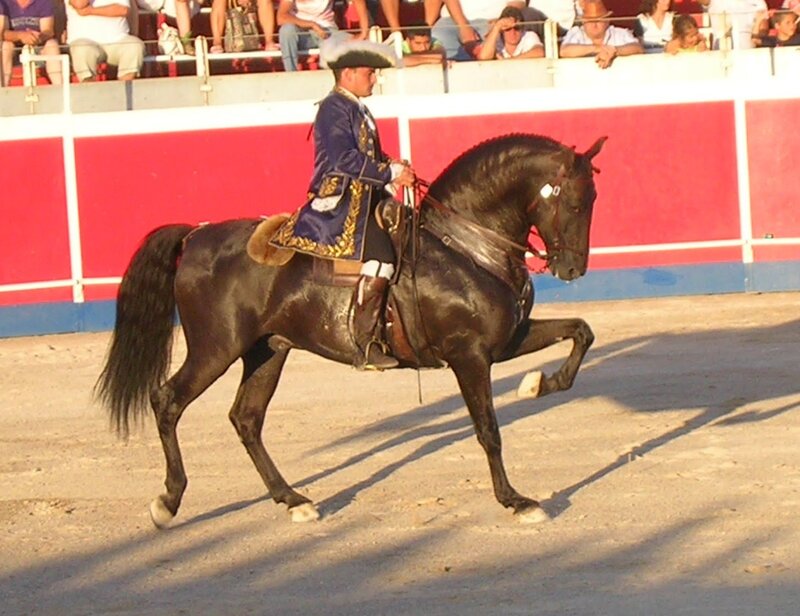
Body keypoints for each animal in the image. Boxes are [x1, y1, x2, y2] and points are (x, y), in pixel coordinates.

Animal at [95, 133, 607, 526]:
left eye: (594, 200)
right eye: (574, 202)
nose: (573, 268)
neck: (464, 245)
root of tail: (197, 234)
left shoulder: (506, 341)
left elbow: (581, 331)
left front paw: (540, 383)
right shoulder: (469, 356)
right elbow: (488, 430)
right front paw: (517, 501)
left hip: (267, 350)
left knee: (246, 418)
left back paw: (294, 500)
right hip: (214, 347)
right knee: (168, 400)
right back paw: (168, 501)